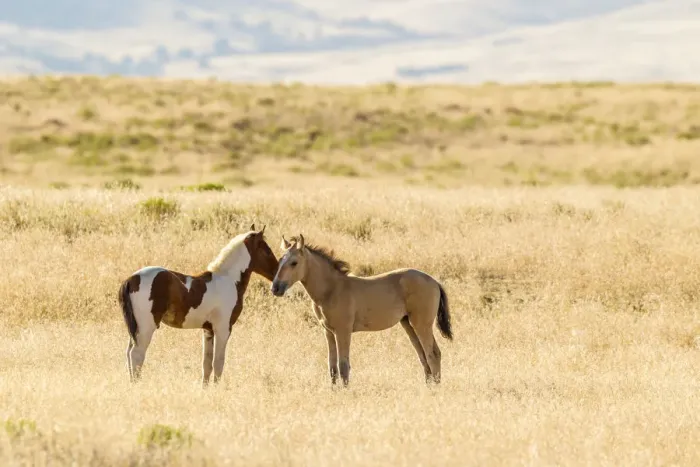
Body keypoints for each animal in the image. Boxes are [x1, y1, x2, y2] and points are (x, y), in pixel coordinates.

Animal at [117, 224, 279, 386]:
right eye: (268, 251)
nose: (276, 277)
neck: (229, 279)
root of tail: (131, 279)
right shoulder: (223, 329)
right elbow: (218, 363)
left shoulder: (208, 330)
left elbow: (206, 364)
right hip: (146, 327)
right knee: (136, 355)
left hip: (135, 329)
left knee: (128, 354)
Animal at [270, 234, 453, 387]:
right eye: (279, 261)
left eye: (294, 263)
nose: (275, 288)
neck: (332, 289)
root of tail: (434, 281)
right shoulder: (328, 332)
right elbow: (332, 366)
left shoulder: (343, 331)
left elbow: (343, 365)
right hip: (407, 323)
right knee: (423, 355)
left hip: (421, 324)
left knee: (432, 354)